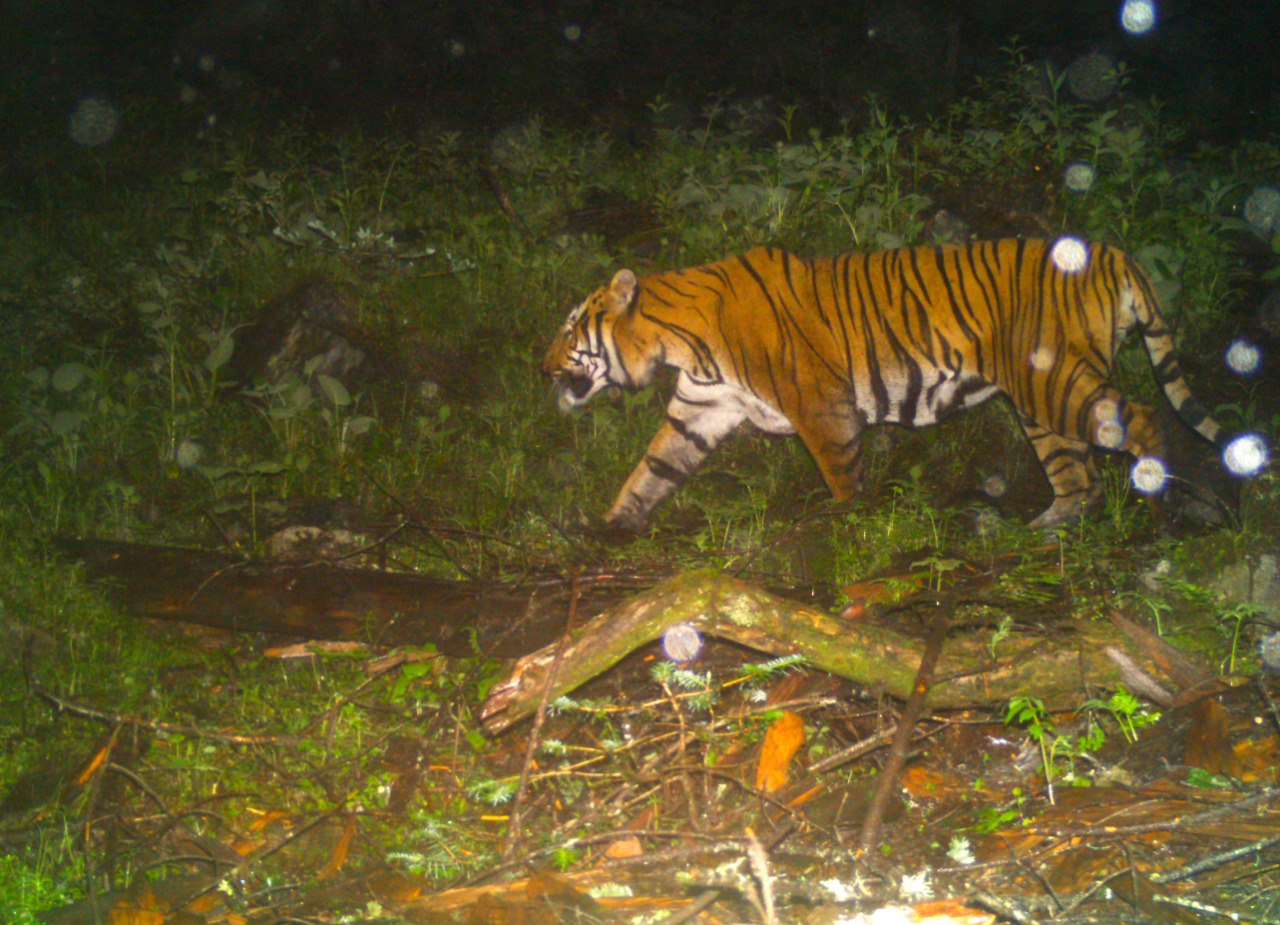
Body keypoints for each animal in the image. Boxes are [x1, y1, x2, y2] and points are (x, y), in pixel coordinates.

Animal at [542, 238, 1226, 532]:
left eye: (571, 326)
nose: (541, 365)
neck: (681, 342)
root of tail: (1111, 251)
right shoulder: (699, 409)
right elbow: (652, 471)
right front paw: (606, 526)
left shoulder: (821, 405)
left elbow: (840, 472)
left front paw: (846, 523)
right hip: (1040, 398)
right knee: (1077, 474)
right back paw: (1043, 532)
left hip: (1053, 381)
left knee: (1143, 420)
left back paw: (1158, 512)